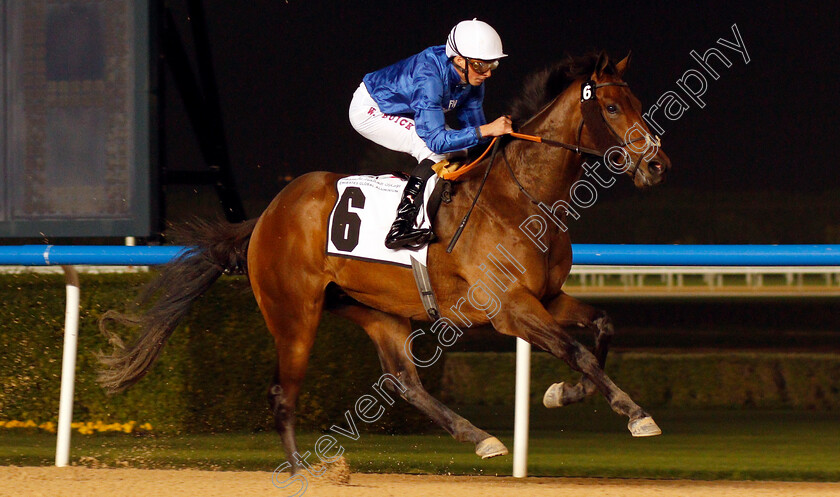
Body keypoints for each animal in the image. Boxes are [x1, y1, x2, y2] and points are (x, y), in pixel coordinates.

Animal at [100, 52, 668, 470]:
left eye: (637, 101)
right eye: (611, 108)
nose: (657, 163)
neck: (521, 197)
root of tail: (266, 217)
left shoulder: (547, 297)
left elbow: (601, 328)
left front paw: (561, 394)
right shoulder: (510, 307)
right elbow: (578, 351)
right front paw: (635, 413)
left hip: (375, 309)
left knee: (404, 382)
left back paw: (479, 437)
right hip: (294, 315)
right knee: (282, 394)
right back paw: (302, 471)